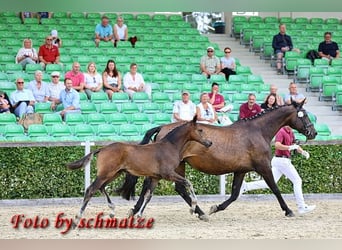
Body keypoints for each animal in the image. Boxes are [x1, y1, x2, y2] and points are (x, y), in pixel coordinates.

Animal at [66, 115, 212, 225]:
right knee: (90, 189)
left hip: (114, 174)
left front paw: (138, 216)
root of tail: (102, 149)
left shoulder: (156, 177)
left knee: (101, 187)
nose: (209, 143)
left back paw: (112, 211)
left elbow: (148, 196)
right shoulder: (168, 174)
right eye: (200, 130)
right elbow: (188, 183)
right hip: (106, 174)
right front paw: (193, 208)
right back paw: (77, 218)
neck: (169, 146)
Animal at [119, 99, 316, 219]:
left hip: (179, 165)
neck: (258, 131)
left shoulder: (241, 170)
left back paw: (200, 213)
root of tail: (163, 128)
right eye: (304, 114)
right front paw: (288, 210)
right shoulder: (263, 167)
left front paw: (216, 208)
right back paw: (136, 210)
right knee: (152, 185)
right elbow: (275, 188)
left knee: (178, 188)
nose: (313, 133)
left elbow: (235, 194)